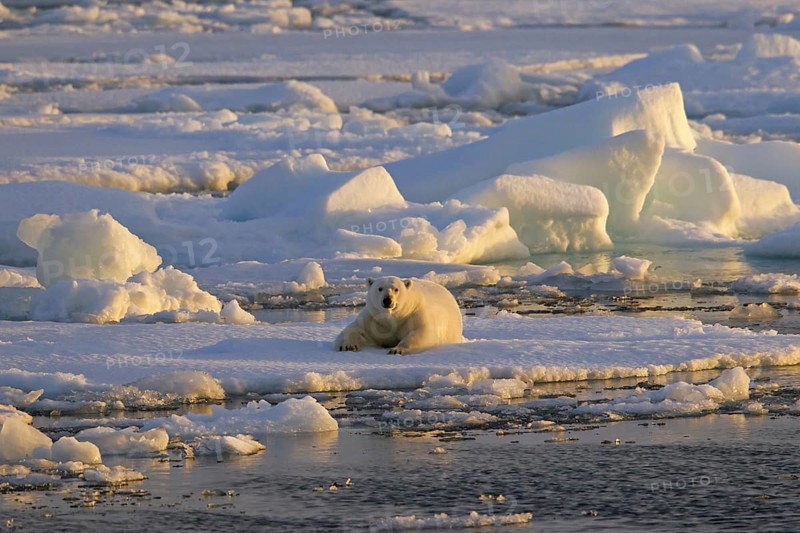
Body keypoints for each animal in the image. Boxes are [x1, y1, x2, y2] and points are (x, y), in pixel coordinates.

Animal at [334, 276, 463, 355]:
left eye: (396, 289)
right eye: (379, 288)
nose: (387, 300)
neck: (392, 317)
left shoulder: (414, 314)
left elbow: (423, 333)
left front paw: (397, 350)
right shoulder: (372, 318)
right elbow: (353, 329)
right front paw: (348, 346)